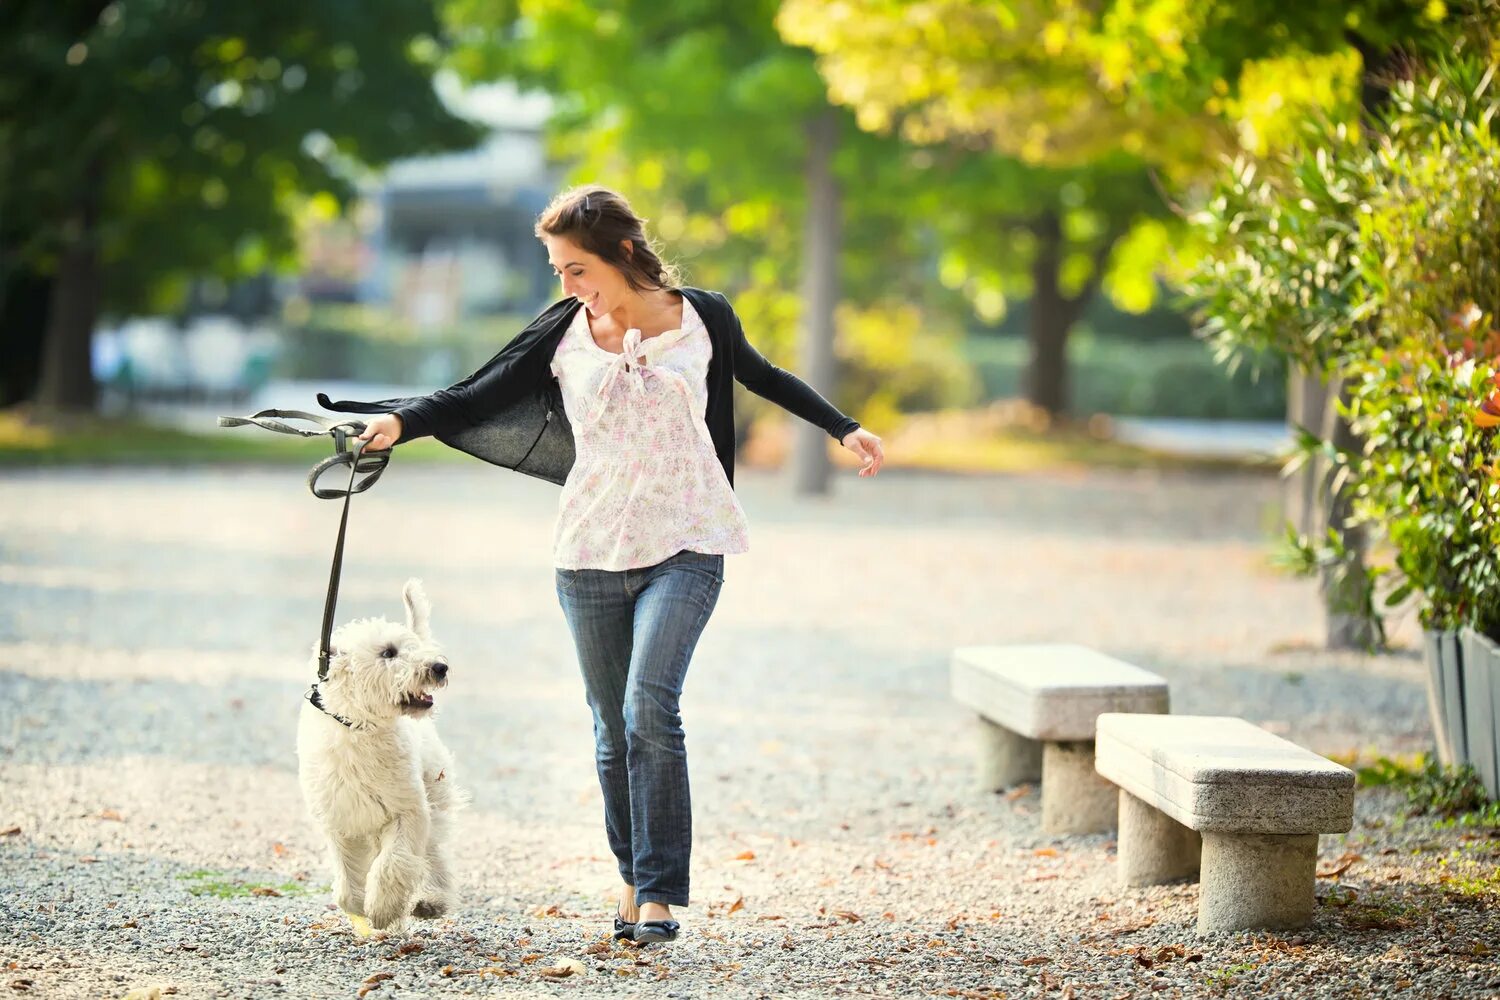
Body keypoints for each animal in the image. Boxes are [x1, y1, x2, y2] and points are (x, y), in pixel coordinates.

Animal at [295, 578, 465, 929]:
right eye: (388, 652)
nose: (439, 667)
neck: (360, 728)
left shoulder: (407, 810)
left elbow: (394, 863)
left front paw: (383, 908)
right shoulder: (339, 820)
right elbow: (346, 882)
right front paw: (359, 906)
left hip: (434, 796)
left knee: (434, 854)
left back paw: (431, 900)